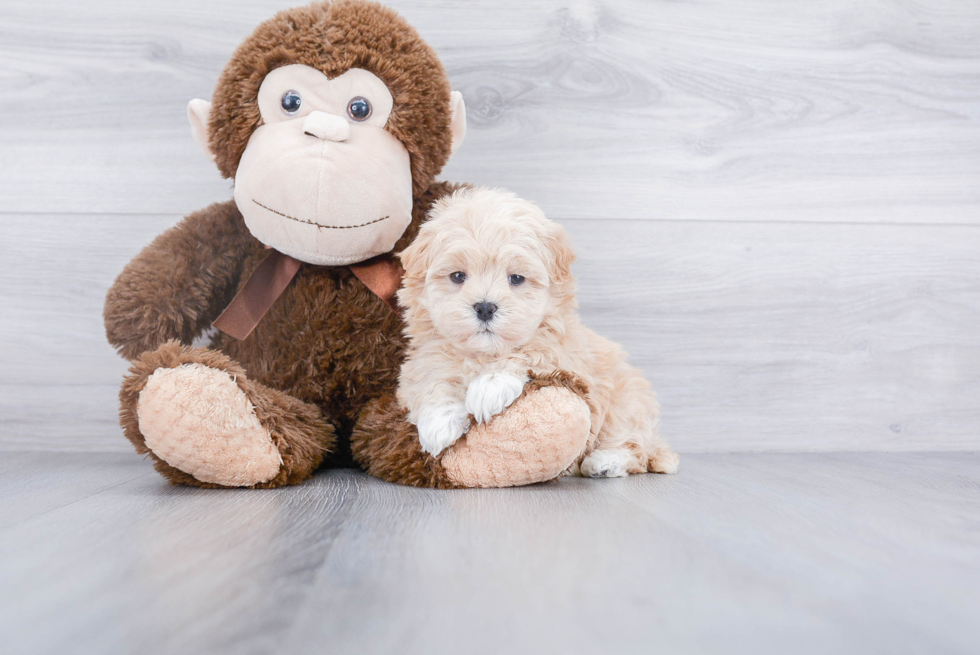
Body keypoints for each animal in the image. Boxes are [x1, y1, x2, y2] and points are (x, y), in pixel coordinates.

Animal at [394, 187, 676, 480]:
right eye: (458, 276)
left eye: (516, 279)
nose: (485, 307)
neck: (483, 354)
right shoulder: (423, 360)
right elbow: (433, 379)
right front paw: (438, 423)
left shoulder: (564, 355)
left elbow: (529, 353)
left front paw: (489, 386)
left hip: (625, 404)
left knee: (635, 448)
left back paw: (606, 461)